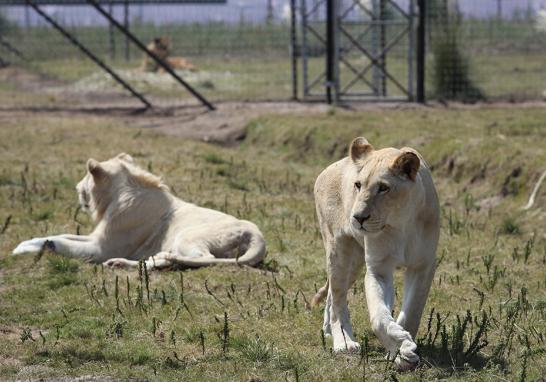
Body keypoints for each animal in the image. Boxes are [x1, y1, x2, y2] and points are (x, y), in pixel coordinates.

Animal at [12, 152, 266, 268]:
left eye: (86, 176)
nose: (76, 188)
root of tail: (257, 235)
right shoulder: (98, 237)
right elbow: (60, 235)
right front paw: (27, 242)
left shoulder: (101, 248)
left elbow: (61, 242)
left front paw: (21, 249)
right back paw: (123, 263)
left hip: (187, 236)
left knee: (199, 259)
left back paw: (122, 263)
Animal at [310, 137, 438, 370]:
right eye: (358, 185)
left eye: (384, 188)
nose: (358, 217)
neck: (399, 223)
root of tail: (329, 167)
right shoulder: (379, 268)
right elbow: (379, 316)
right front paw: (401, 347)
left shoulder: (423, 265)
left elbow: (412, 311)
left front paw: (401, 349)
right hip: (338, 249)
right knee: (338, 299)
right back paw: (344, 342)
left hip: (355, 262)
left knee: (332, 294)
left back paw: (327, 330)